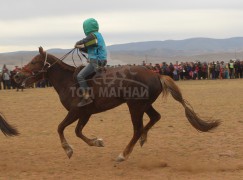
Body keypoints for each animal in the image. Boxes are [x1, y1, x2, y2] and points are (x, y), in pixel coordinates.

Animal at [15, 46, 220, 162]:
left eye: (34, 61)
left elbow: (60, 128)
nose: (17, 76)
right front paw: (97, 142)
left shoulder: (75, 112)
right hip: (143, 105)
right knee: (155, 117)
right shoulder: (85, 113)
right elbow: (78, 131)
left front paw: (68, 150)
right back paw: (143, 138)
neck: (69, 81)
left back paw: (124, 154)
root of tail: (156, 74)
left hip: (135, 106)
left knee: (137, 128)